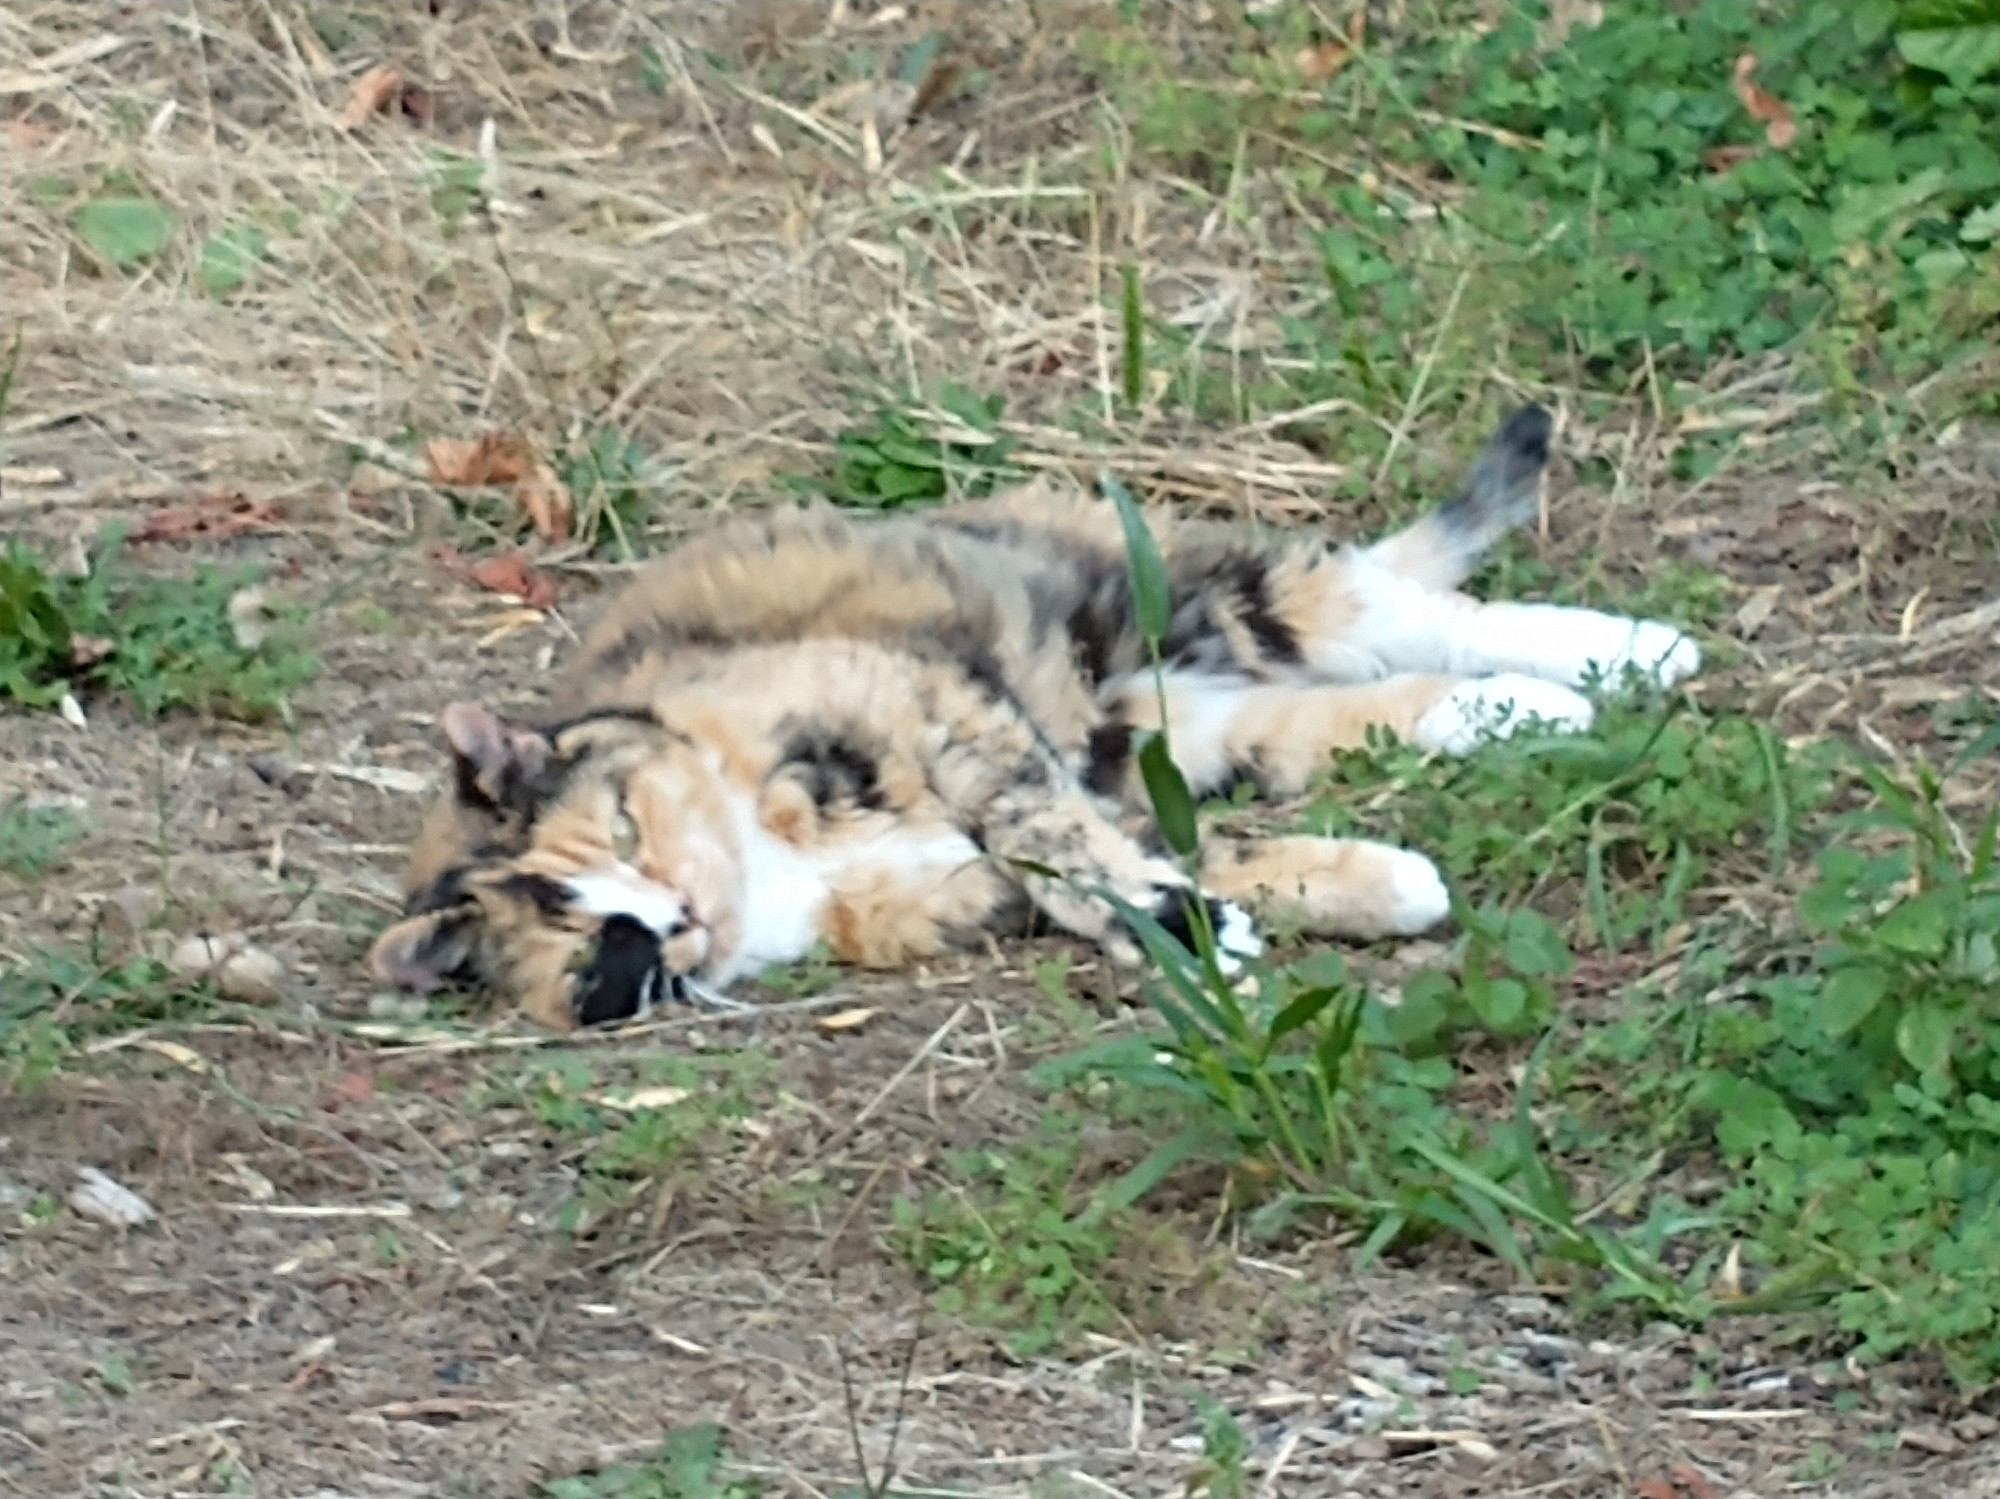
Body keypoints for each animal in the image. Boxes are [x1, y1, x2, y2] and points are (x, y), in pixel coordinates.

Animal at [368, 401, 1696, 1031]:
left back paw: (1626, 649)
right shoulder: (962, 876)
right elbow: (1153, 859)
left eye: (624, 828)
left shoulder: (938, 713)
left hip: (1145, 602)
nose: (672, 918)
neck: (764, 861)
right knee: (1334, 706)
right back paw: (1516, 712)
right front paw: (1351, 892)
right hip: (1158, 723)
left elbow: (1050, 839)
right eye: (600, 949)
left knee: (1371, 597)